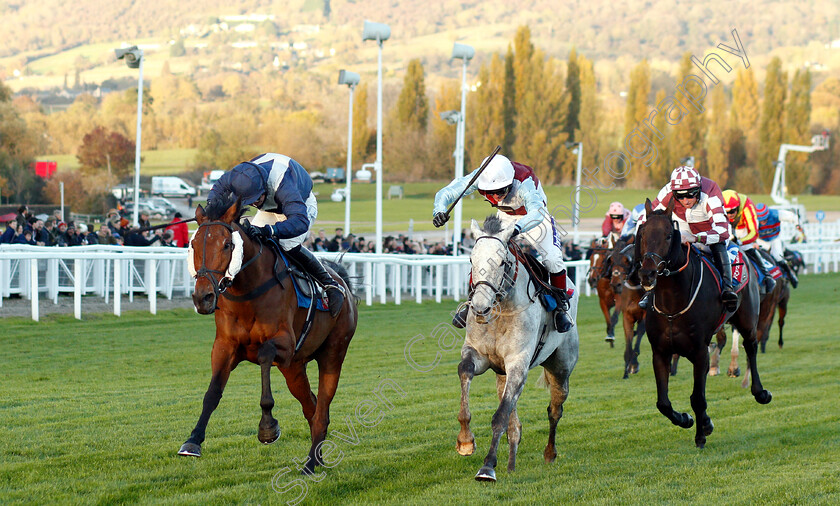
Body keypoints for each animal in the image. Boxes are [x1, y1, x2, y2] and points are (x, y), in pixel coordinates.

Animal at [179, 198, 356, 474]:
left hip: (332, 354)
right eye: (193, 244)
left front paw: (267, 428)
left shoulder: (285, 344)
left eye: (227, 244)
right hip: (294, 368)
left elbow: (264, 356)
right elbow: (212, 393)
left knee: (322, 409)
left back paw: (309, 464)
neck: (248, 294)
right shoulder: (224, 346)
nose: (203, 297)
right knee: (311, 406)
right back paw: (317, 457)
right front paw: (193, 441)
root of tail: (343, 283)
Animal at [456, 214, 580, 482]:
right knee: (515, 421)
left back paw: (549, 453)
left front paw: (487, 467)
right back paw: (512, 464)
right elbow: (465, 371)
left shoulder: (518, 363)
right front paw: (465, 441)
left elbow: (500, 416)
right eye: (471, 260)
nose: (479, 307)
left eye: (502, 261)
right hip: (501, 374)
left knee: (555, 410)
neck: (500, 311)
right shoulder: (478, 355)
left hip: (561, 368)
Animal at [608, 239, 648, 378]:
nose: (616, 284)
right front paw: (627, 369)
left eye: (627, 260)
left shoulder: (645, 315)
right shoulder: (627, 316)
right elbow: (629, 338)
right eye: (611, 260)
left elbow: (640, 333)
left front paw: (634, 364)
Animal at [640, 198, 772, 446]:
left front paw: (701, 433)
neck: (672, 303)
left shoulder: (700, 351)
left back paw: (759, 391)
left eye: (668, 236)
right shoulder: (660, 352)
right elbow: (663, 403)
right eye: (642, 233)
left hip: (748, 319)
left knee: (751, 347)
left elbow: (698, 398)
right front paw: (687, 419)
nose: (647, 273)